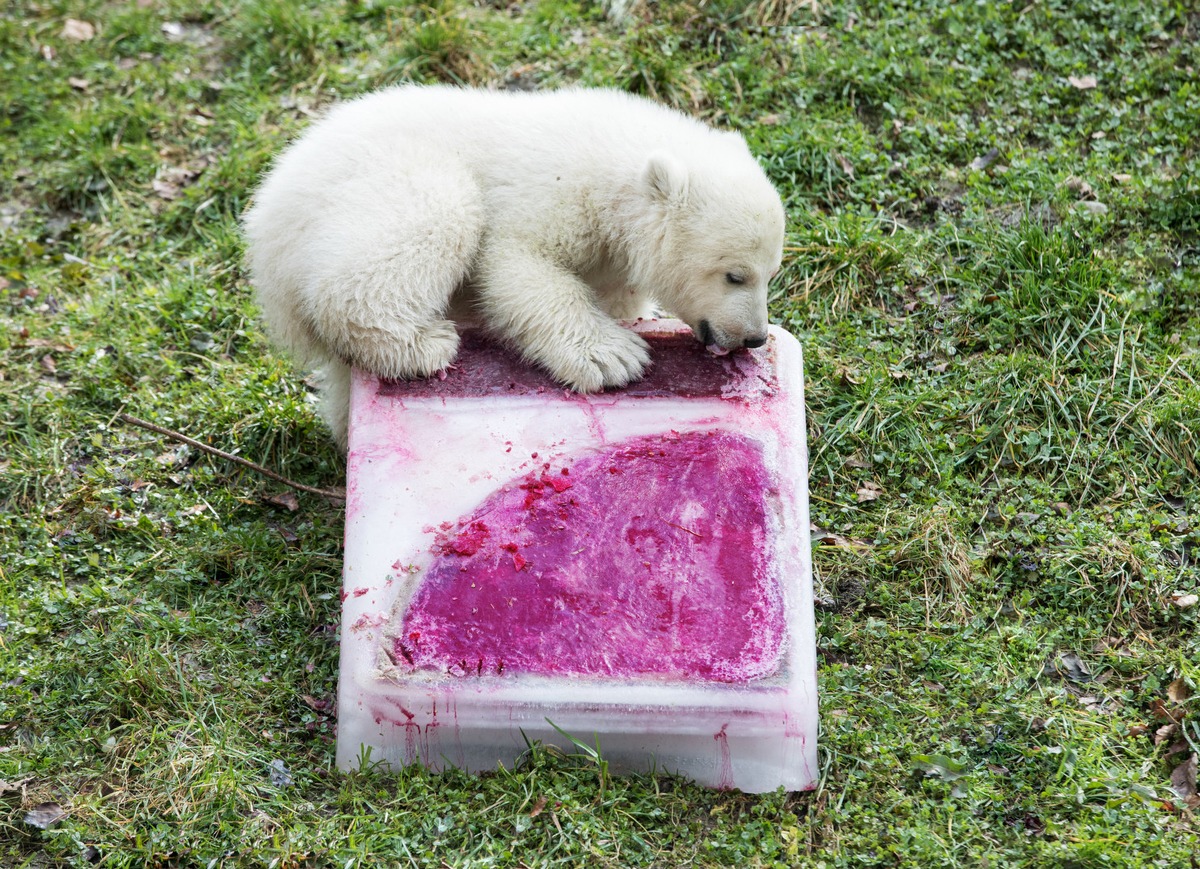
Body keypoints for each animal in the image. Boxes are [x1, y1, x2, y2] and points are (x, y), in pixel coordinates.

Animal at [243, 86, 787, 448]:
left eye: (771, 272)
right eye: (734, 274)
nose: (755, 337)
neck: (614, 163)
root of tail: (268, 218)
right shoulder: (550, 191)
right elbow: (517, 265)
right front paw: (612, 357)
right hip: (379, 183)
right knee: (432, 218)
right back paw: (421, 344)